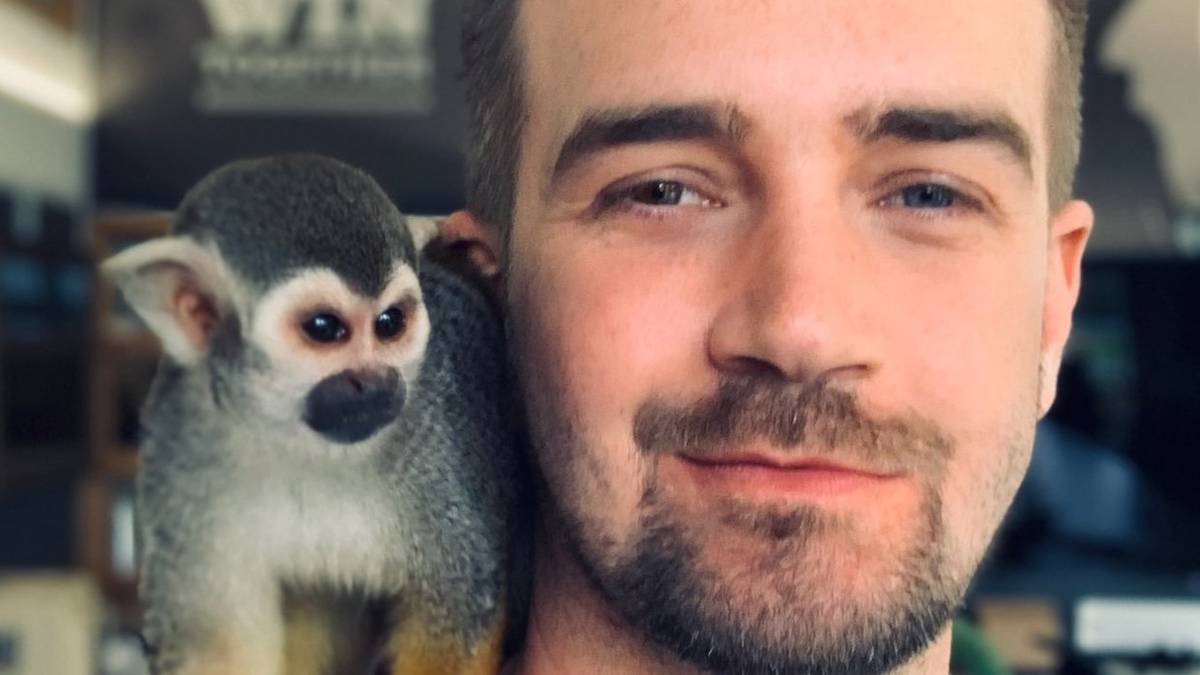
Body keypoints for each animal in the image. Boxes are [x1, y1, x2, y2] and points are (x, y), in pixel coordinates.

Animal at [103, 154, 518, 675]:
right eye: (324, 328)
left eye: (390, 323)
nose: (376, 382)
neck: (304, 442)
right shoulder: (182, 451)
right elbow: (215, 649)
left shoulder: (447, 432)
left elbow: (461, 613)